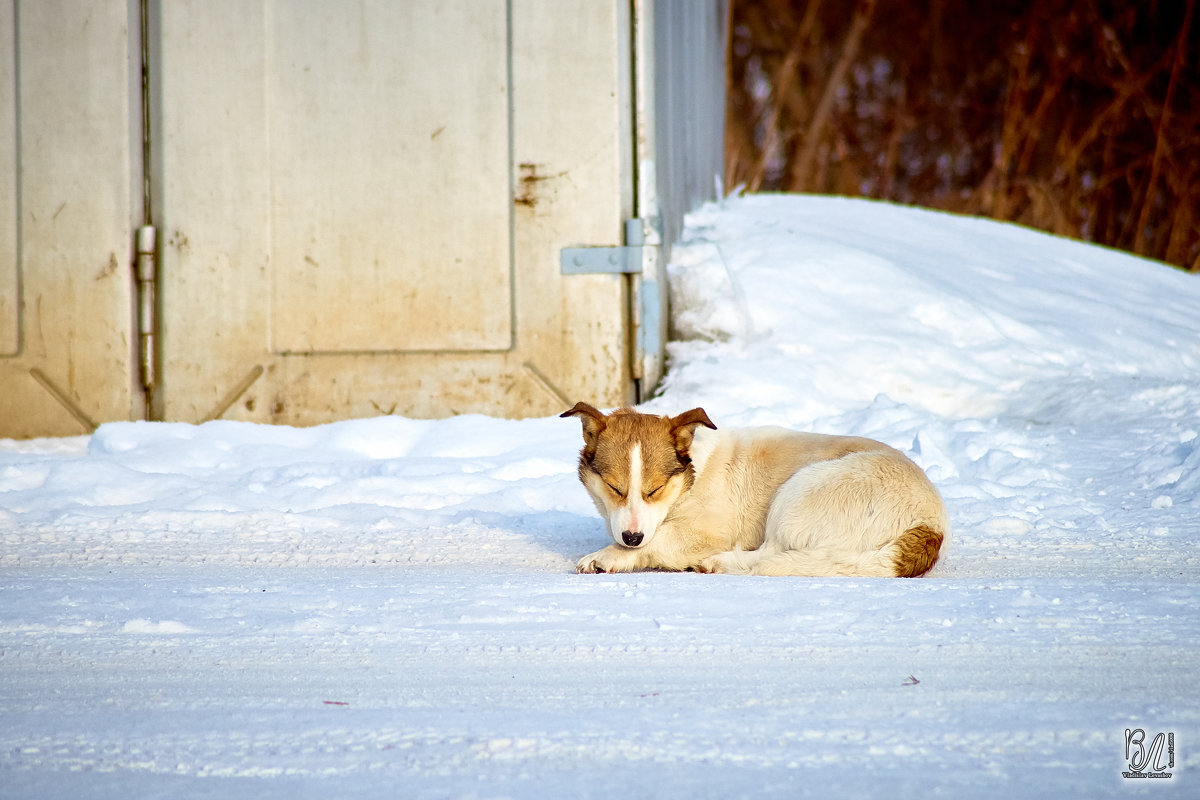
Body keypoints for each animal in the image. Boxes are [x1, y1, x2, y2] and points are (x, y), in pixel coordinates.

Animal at [559, 402, 945, 578]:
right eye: (614, 487)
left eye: (654, 490)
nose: (631, 537)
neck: (691, 479)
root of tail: (933, 525)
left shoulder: (706, 531)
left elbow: (658, 542)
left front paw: (607, 556)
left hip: (799, 492)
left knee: (769, 555)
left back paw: (717, 563)